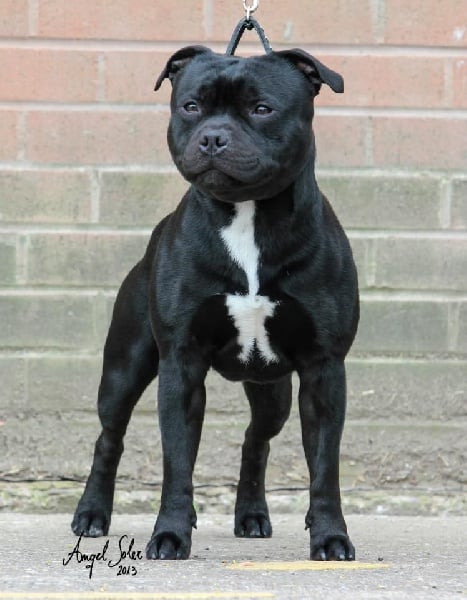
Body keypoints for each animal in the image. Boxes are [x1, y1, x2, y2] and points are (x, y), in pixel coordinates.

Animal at [72, 45, 359, 561]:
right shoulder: (180, 366)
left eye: (262, 109)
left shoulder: (324, 371)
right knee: (110, 437)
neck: (247, 217)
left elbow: (325, 468)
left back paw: (252, 515)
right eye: (191, 107)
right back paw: (91, 514)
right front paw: (170, 533)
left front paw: (330, 536)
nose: (212, 137)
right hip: (124, 370)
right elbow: (177, 463)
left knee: (255, 441)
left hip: (273, 392)